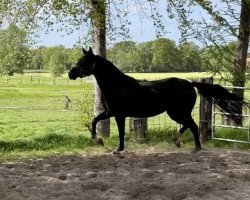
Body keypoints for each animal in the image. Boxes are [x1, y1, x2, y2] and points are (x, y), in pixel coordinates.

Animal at [69, 47, 247, 153]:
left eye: (83, 62)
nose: (71, 74)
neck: (117, 85)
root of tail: (190, 83)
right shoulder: (109, 112)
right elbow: (94, 120)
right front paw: (97, 139)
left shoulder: (119, 114)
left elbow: (121, 132)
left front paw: (118, 149)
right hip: (176, 113)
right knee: (188, 125)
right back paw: (177, 141)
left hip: (177, 112)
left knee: (193, 125)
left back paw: (194, 147)